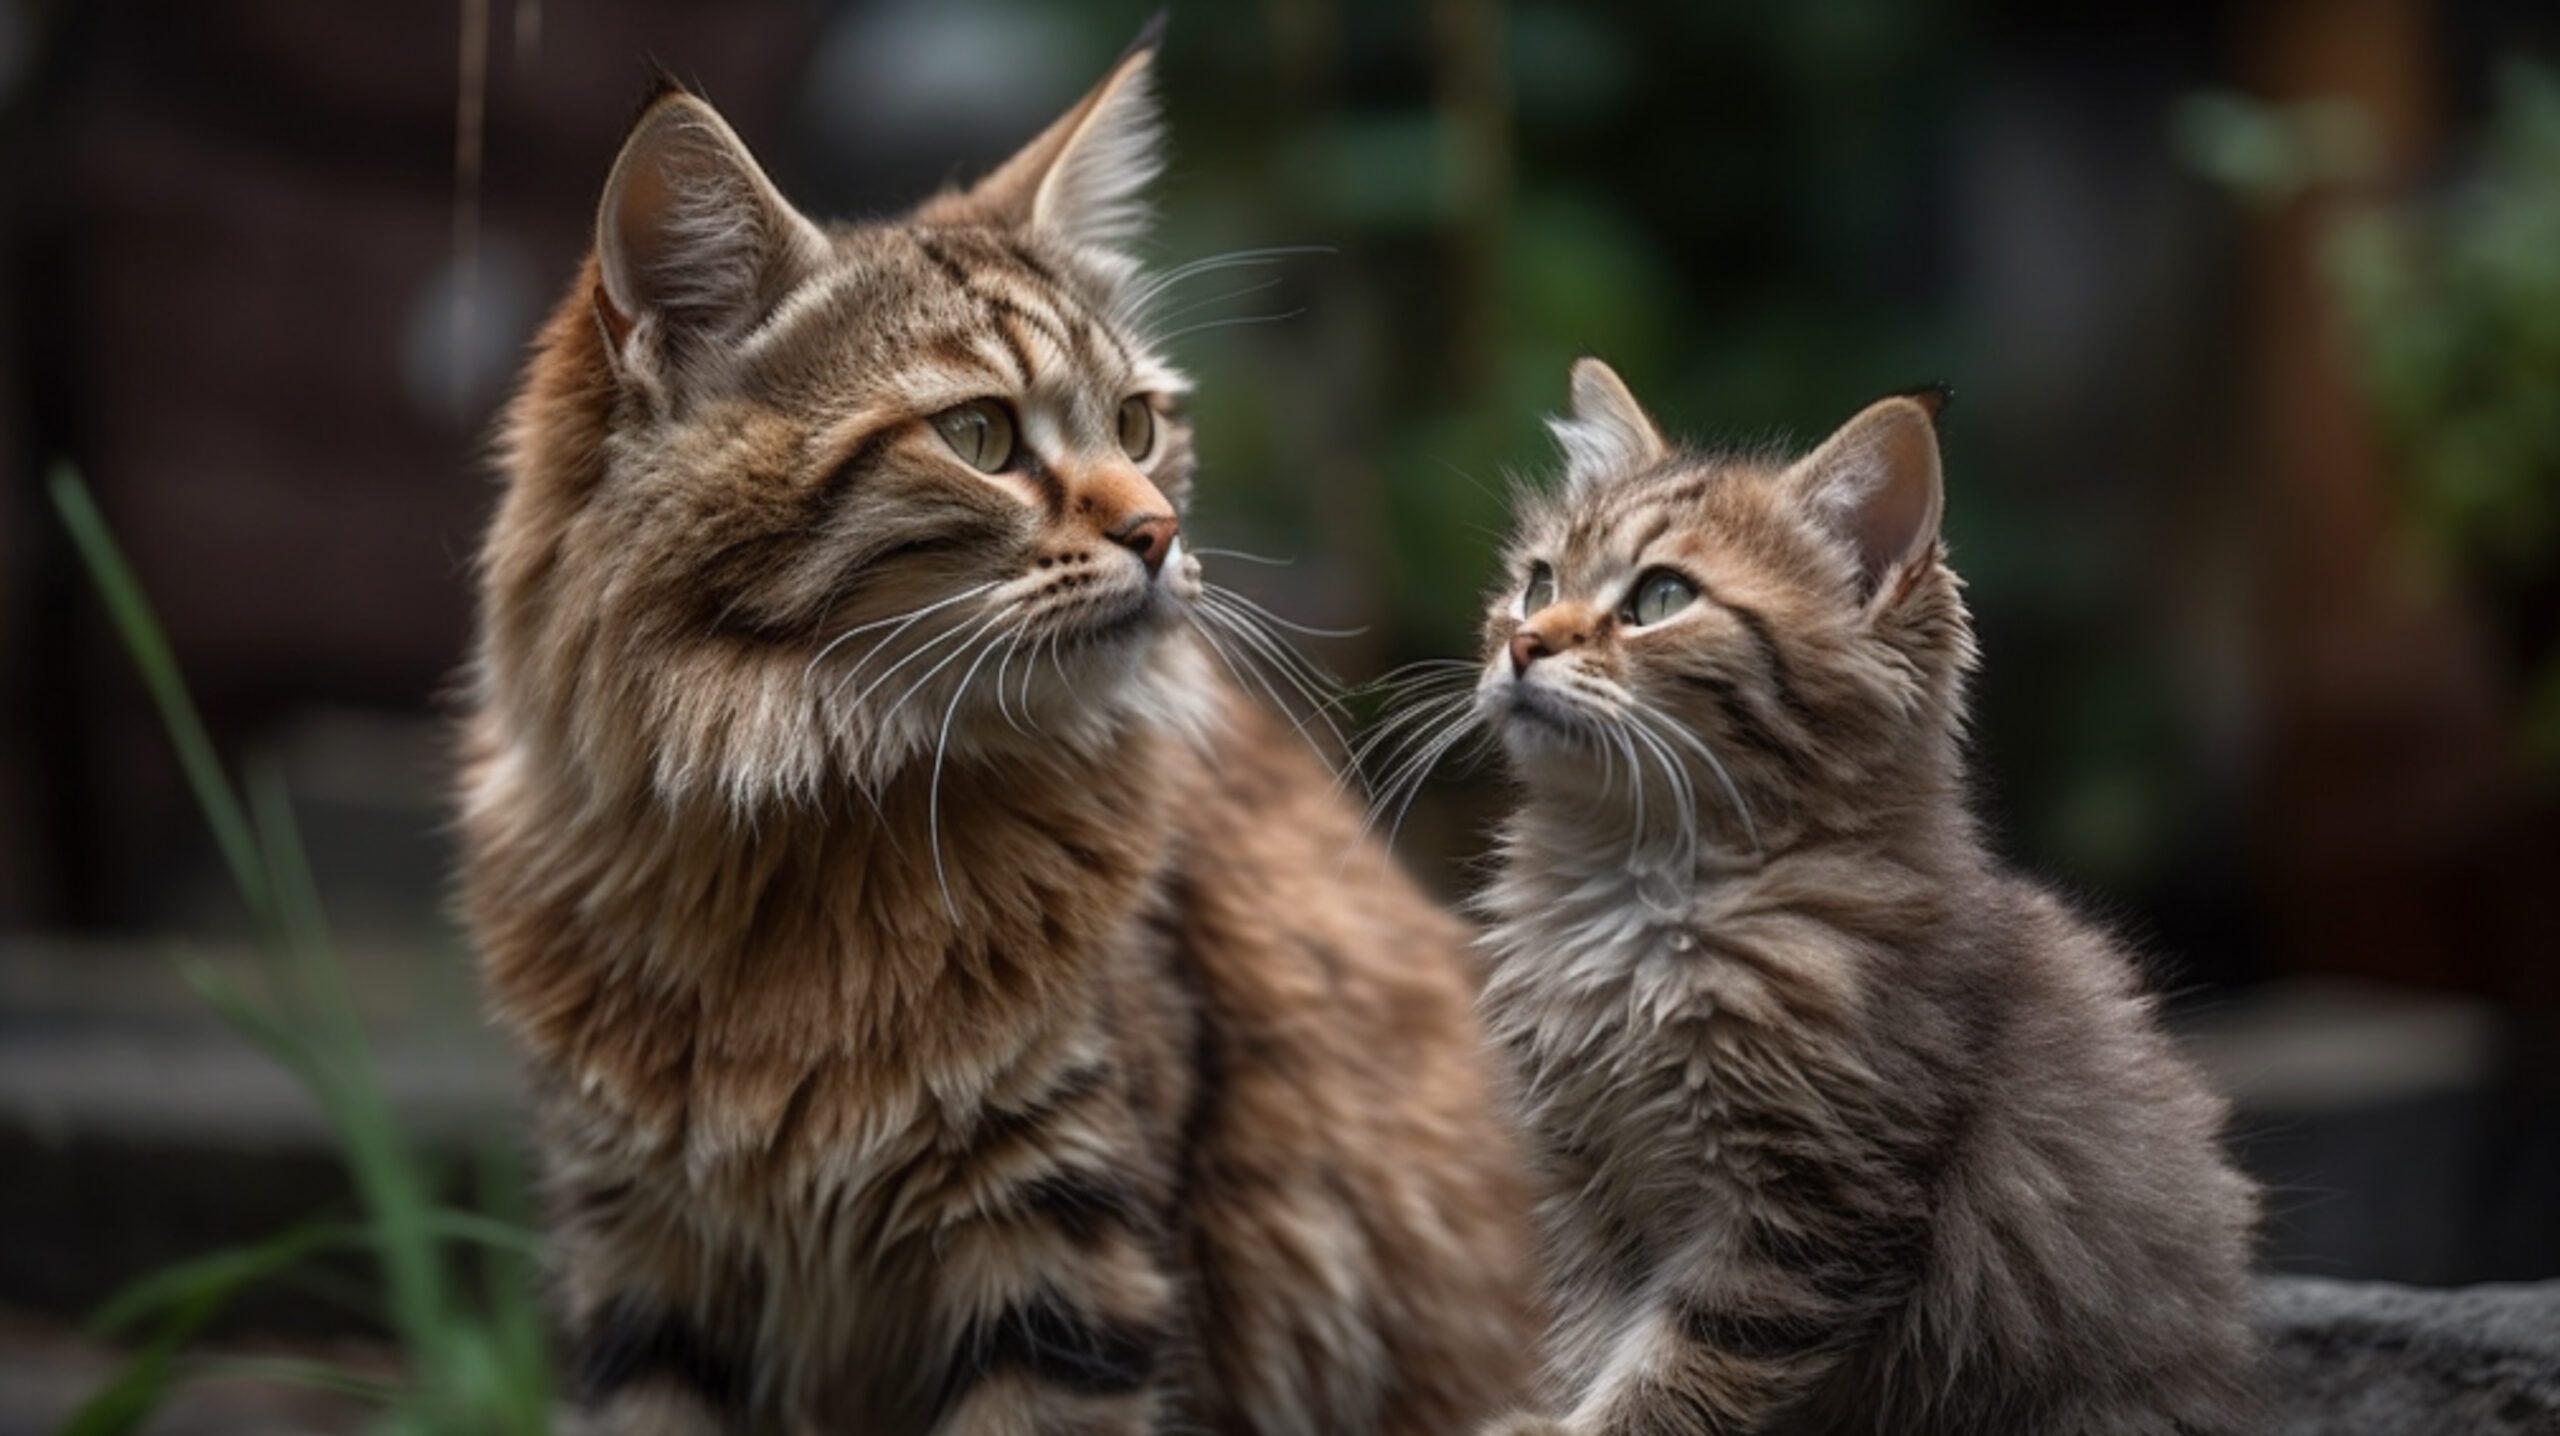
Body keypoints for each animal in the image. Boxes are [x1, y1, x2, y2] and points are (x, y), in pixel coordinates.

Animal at [453, 27, 1525, 1423]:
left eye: (1137, 422)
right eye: (980, 435)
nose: (1159, 534)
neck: (798, 818)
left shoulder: (1061, 1250)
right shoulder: (635, 1255)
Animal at [1423, 360, 2263, 1433]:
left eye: (1660, 596)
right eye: (1537, 583)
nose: (1524, 642)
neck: (1644, 894)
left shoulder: (1806, 1206)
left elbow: (1667, 1379)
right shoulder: (1586, 1191)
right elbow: (1591, 1340)